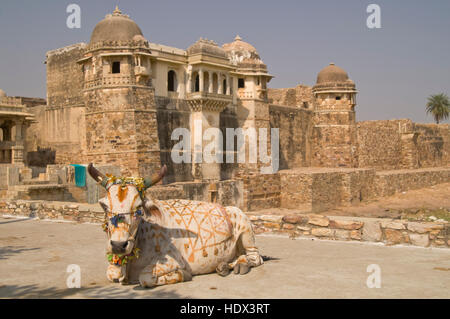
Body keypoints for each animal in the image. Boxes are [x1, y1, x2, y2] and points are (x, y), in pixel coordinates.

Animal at [87, 164, 264, 288]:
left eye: (139, 208)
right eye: (105, 207)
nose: (118, 245)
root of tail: (228, 207)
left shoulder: (174, 261)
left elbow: (145, 278)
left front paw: (183, 275)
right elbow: (111, 274)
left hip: (245, 229)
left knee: (255, 257)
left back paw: (241, 265)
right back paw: (224, 266)